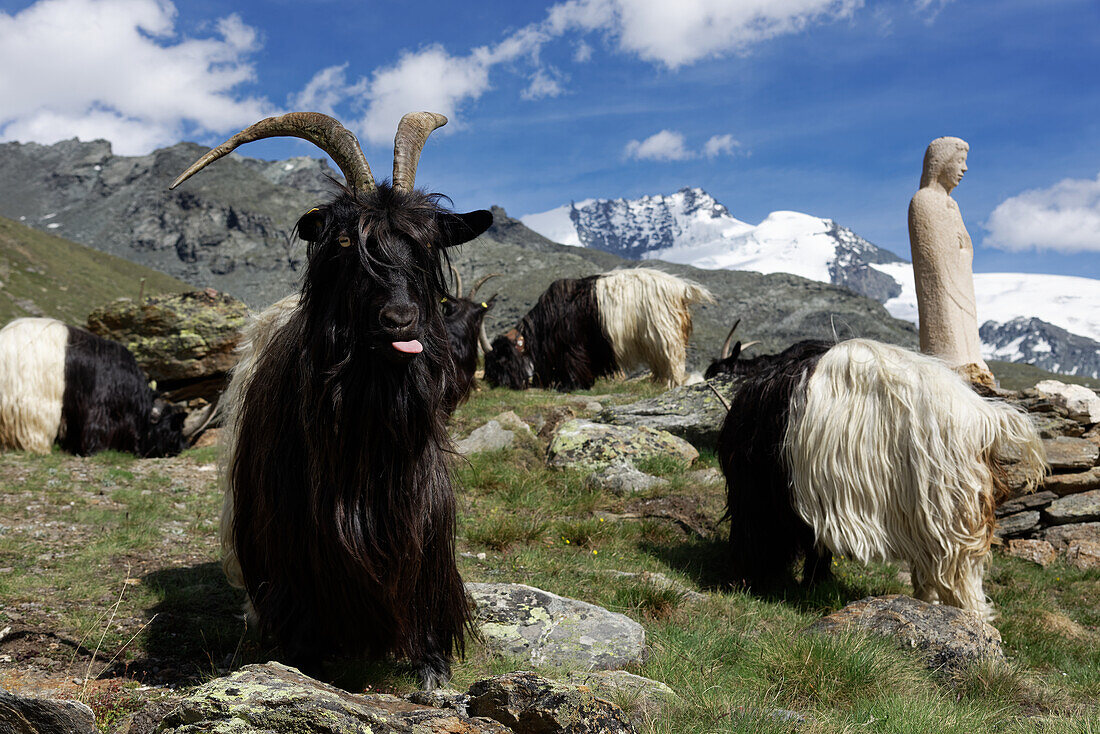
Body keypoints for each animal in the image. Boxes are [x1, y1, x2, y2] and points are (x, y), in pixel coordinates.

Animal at [484, 269, 712, 393]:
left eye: (501, 360)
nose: (492, 381)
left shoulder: (573, 346)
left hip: (665, 334)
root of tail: (682, 289)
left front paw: (572, 386)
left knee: (674, 364)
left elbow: (574, 365)